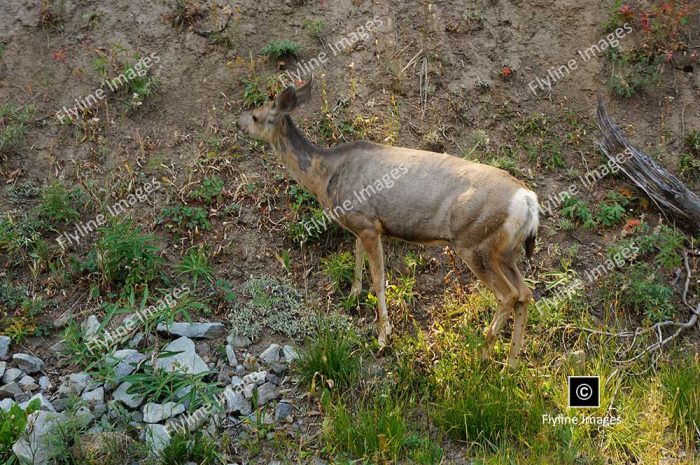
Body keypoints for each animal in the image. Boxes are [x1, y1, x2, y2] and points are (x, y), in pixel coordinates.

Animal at [238, 76, 540, 366]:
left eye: (255, 116)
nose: (238, 123)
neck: (325, 175)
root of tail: (528, 201)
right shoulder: (361, 225)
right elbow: (357, 255)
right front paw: (353, 295)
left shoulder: (368, 223)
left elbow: (379, 279)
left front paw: (384, 335)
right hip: (504, 250)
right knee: (525, 293)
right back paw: (511, 363)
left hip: (474, 242)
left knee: (508, 295)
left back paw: (484, 352)